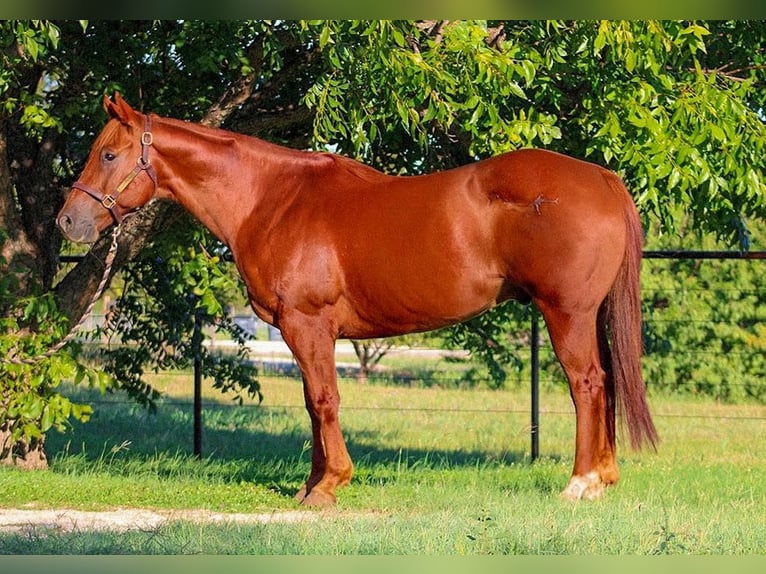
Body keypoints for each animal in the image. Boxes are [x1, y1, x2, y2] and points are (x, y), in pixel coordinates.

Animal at [57, 94, 656, 508]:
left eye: (108, 153)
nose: (68, 222)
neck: (271, 199)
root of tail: (601, 179)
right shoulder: (303, 333)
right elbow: (311, 403)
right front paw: (310, 485)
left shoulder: (306, 325)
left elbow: (325, 401)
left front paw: (329, 486)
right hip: (588, 316)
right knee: (605, 383)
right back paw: (604, 478)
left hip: (566, 314)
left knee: (588, 385)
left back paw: (580, 483)